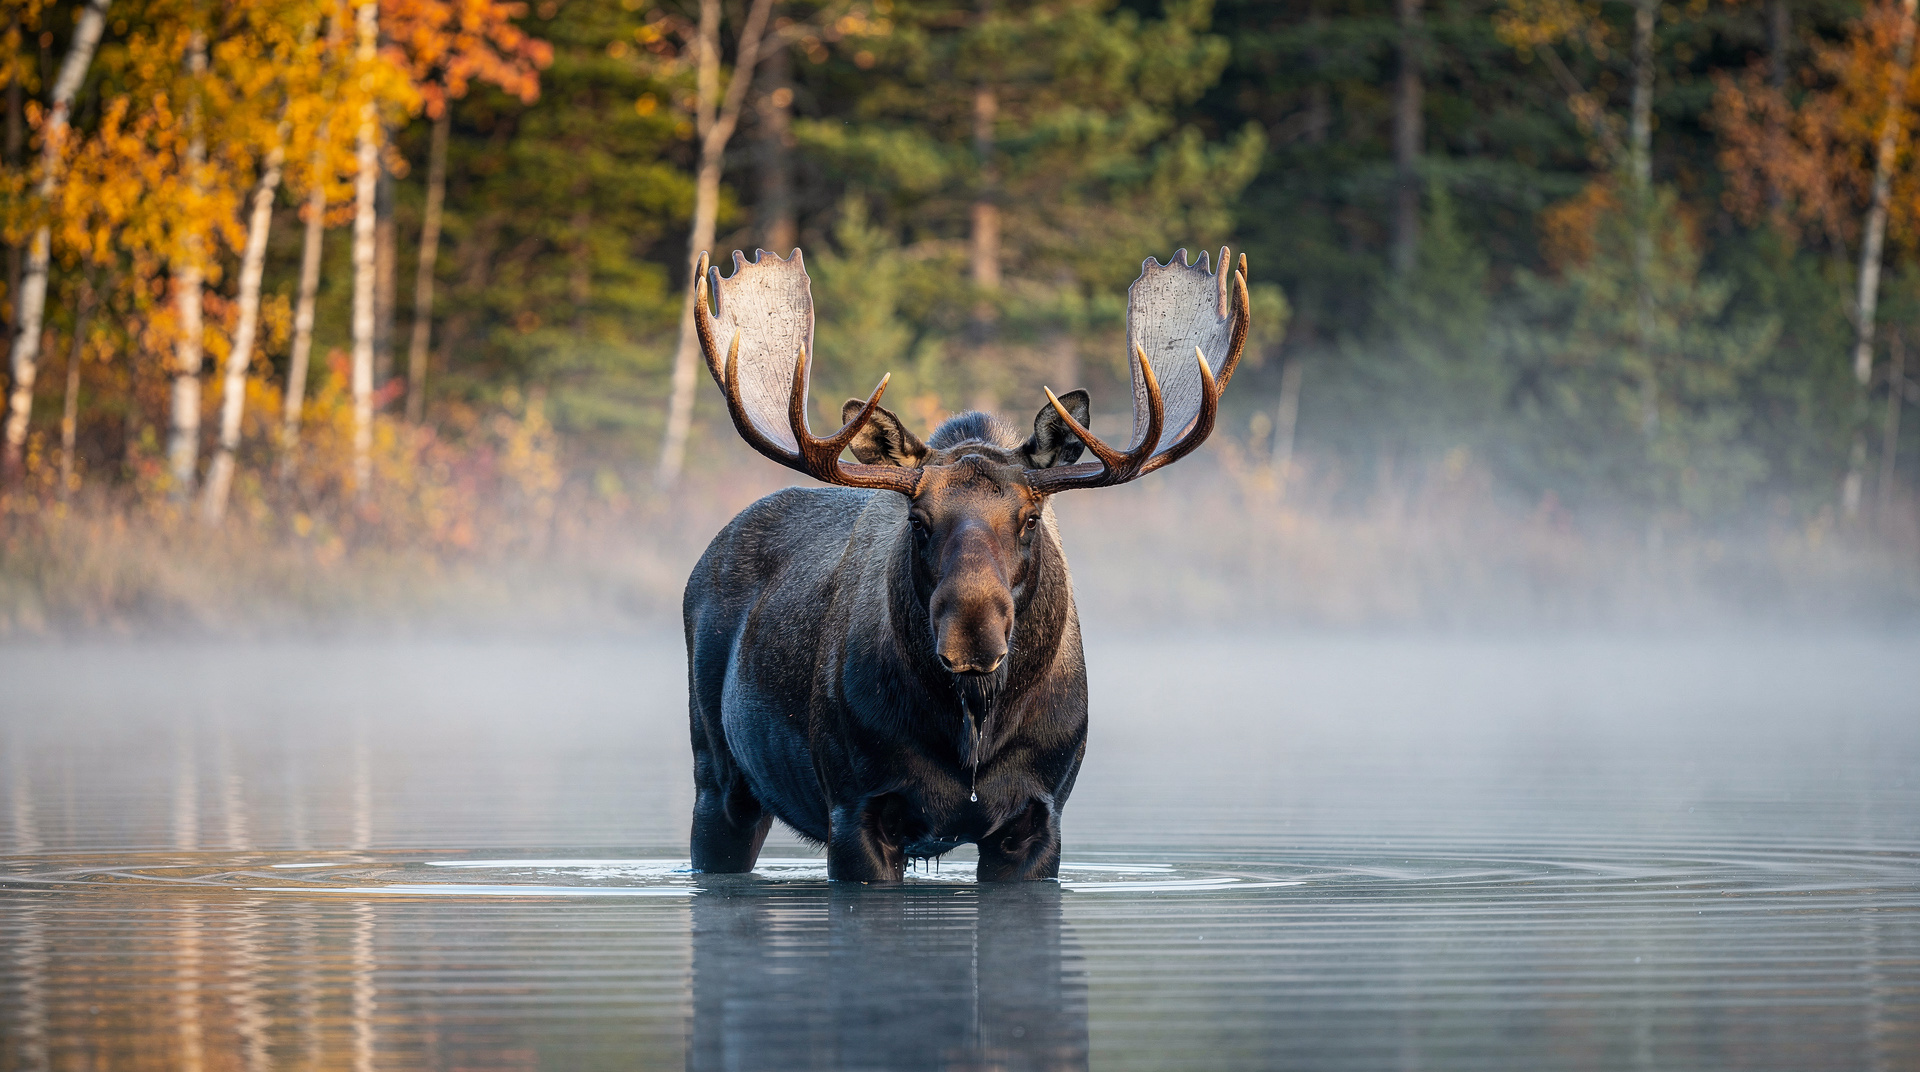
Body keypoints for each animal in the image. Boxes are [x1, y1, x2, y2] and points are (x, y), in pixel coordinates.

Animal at [682, 246, 1248, 882]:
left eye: (1030, 517)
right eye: (917, 519)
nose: (971, 637)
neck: (975, 730)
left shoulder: (1038, 817)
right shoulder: (854, 809)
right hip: (718, 780)